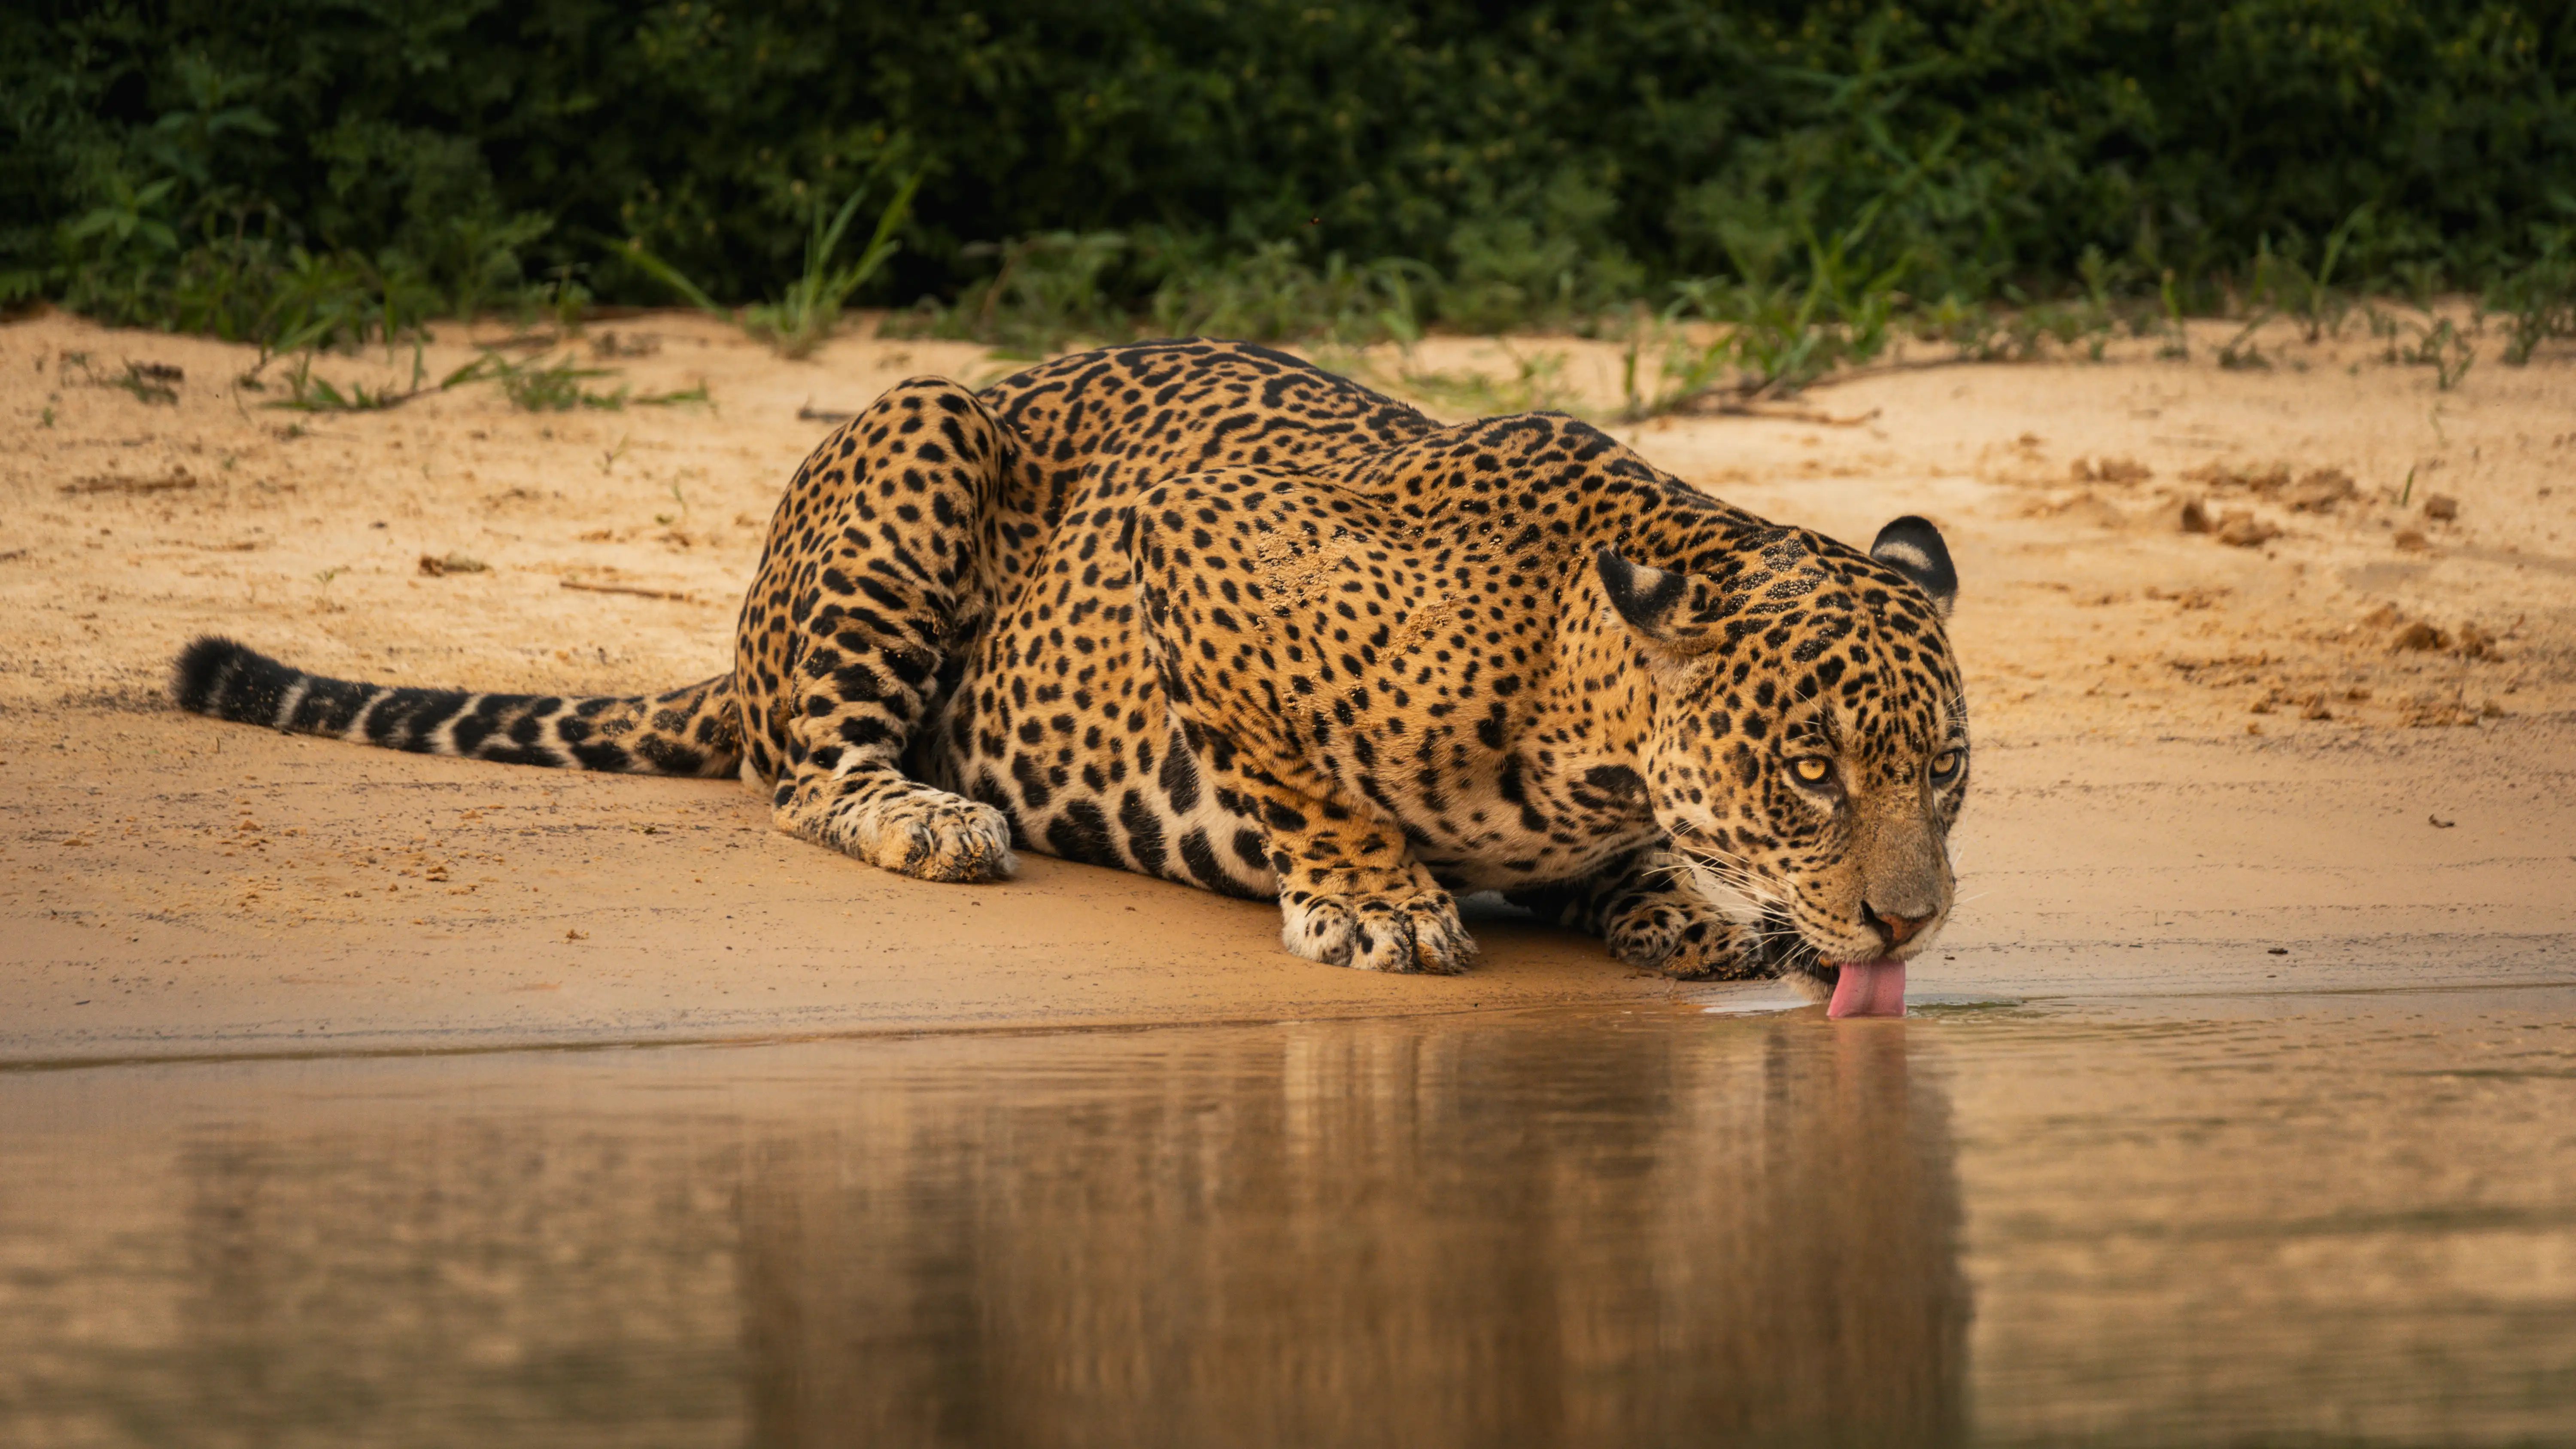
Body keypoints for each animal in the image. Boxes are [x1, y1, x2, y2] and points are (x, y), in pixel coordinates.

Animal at [173, 339, 1968, 1003]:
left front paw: (1680, 902)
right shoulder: (1197, 547)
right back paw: (928, 815)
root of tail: (738, 638)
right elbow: (1299, 781)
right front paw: (1376, 902)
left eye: (1940, 773)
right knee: (805, 773)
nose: (1906, 925)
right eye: (1809, 769)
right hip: (919, 430)